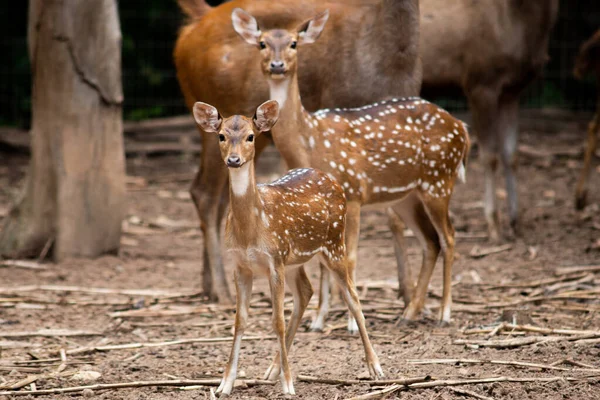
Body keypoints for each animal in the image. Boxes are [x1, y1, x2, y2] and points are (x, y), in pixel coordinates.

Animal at [171, 0, 420, 304]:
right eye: (262, 44)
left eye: (294, 43)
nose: (277, 64)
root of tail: (196, 21)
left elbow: (392, 219)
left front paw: (407, 293)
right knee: (204, 193)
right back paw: (221, 290)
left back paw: (211, 286)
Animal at [193, 98, 384, 396]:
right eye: (221, 136)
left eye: (251, 136)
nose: (233, 160)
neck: (251, 229)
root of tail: (330, 177)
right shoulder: (240, 264)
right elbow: (240, 320)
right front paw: (225, 384)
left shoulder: (275, 260)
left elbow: (277, 321)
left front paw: (288, 385)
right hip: (295, 260)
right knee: (306, 291)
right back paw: (271, 370)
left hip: (334, 244)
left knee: (352, 296)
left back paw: (375, 368)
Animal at [232, 7, 472, 324]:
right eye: (262, 43)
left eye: (294, 43)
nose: (277, 65)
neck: (309, 143)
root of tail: (463, 128)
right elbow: (323, 264)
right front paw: (318, 320)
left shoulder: (354, 191)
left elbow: (351, 258)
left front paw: (347, 322)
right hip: (406, 196)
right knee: (430, 241)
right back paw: (410, 311)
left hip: (440, 179)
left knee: (449, 237)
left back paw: (444, 312)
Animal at [420, 0, 560, 241]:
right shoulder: (480, 82)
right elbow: (489, 156)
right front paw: (493, 224)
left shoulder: (512, 91)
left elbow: (511, 154)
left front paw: (516, 222)